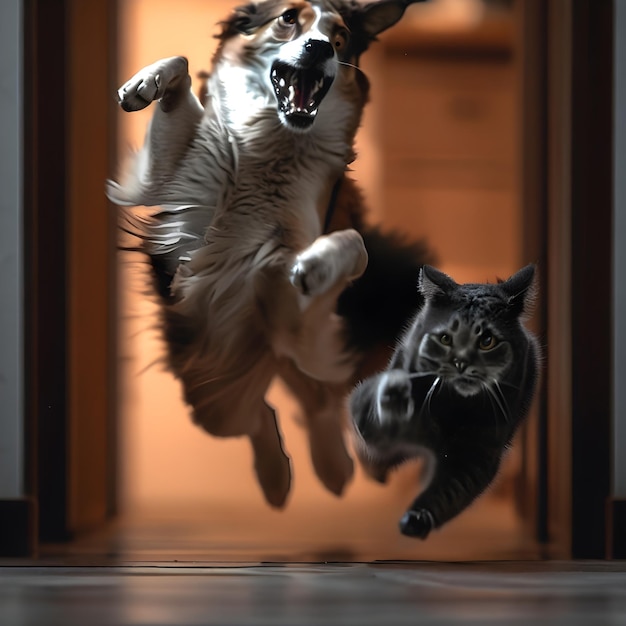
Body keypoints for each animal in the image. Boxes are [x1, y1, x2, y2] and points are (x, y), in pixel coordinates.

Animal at [107, 0, 428, 508]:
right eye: (288, 18)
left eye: (339, 37)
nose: (319, 48)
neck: (275, 140)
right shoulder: (173, 191)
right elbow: (180, 67)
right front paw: (146, 83)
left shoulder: (294, 301)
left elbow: (351, 246)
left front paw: (316, 264)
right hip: (210, 393)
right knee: (257, 409)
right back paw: (279, 478)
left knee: (316, 399)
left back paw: (332, 467)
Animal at [348, 264, 540, 536]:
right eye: (446, 338)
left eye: (487, 341)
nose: (461, 362)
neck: (452, 405)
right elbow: (375, 425)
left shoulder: (478, 450)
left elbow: (448, 491)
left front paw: (416, 519)